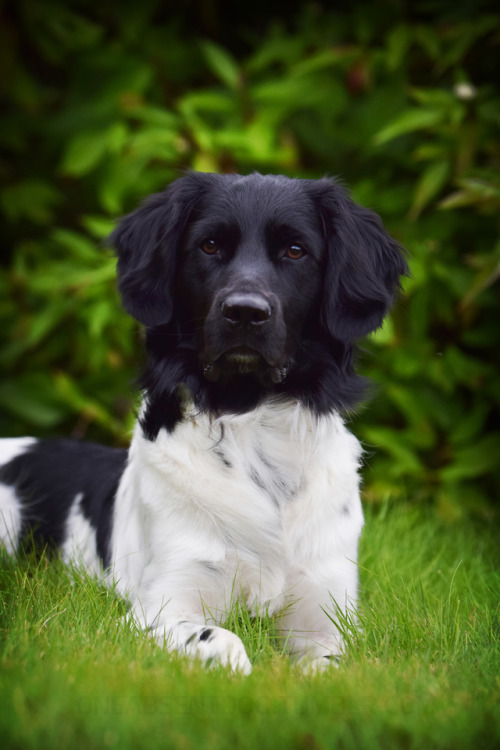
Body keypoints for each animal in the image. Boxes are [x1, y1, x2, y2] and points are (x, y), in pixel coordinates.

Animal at [0, 172, 406, 676]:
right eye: (210, 245)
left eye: (295, 250)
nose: (245, 312)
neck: (250, 420)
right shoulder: (157, 607)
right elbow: (224, 639)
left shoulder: (326, 610)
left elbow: (333, 665)